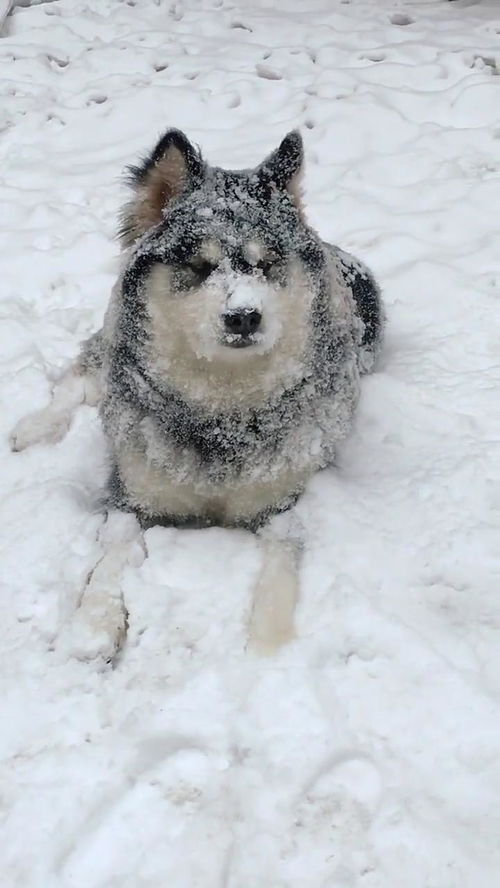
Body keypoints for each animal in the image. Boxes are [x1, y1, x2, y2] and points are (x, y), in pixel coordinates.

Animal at [10, 132, 382, 656]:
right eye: (200, 266)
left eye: (266, 264)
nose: (244, 316)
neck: (221, 406)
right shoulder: (132, 495)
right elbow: (113, 555)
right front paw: (94, 625)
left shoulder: (282, 503)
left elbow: (280, 566)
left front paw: (269, 645)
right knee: (80, 382)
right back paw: (36, 427)